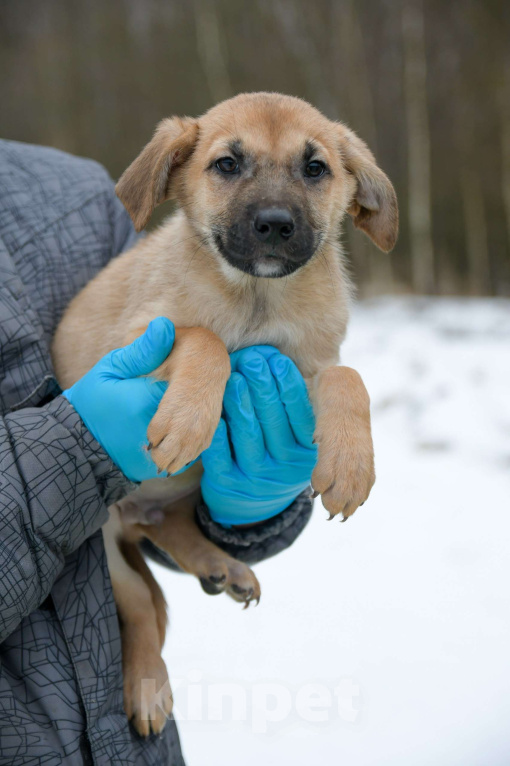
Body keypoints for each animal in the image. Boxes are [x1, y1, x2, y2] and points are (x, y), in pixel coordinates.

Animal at [50, 91, 398, 736]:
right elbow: (204, 339)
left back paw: (221, 566)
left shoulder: (307, 366)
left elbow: (349, 378)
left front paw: (351, 465)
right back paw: (148, 689)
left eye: (316, 168)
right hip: (106, 548)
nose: (275, 224)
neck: (258, 299)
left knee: (173, 525)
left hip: (168, 506)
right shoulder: (135, 342)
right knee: (141, 608)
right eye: (227, 165)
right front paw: (188, 417)